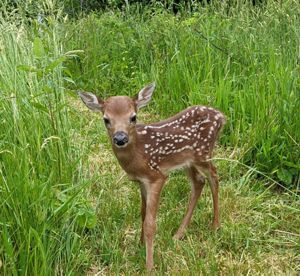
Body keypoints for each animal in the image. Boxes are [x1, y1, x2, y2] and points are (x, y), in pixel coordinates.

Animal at [77, 83, 225, 270]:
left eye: (133, 117)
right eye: (106, 119)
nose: (120, 138)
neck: (139, 154)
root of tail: (221, 116)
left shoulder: (156, 176)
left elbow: (150, 224)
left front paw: (149, 266)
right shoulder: (141, 181)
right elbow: (142, 213)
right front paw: (140, 245)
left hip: (203, 153)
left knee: (214, 176)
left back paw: (215, 226)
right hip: (187, 161)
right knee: (199, 181)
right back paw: (178, 234)